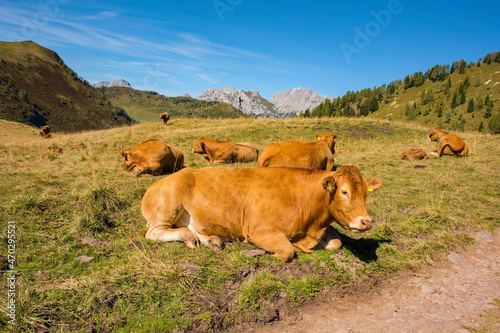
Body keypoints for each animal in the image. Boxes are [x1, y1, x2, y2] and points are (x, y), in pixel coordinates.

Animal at [139, 165, 380, 260]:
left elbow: (337, 242)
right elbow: (287, 251)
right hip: (167, 208)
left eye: (365, 194)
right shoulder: (259, 230)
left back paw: (211, 241)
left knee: (193, 228)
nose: (366, 222)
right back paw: (188, 237)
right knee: (154, 233)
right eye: (344, 192)